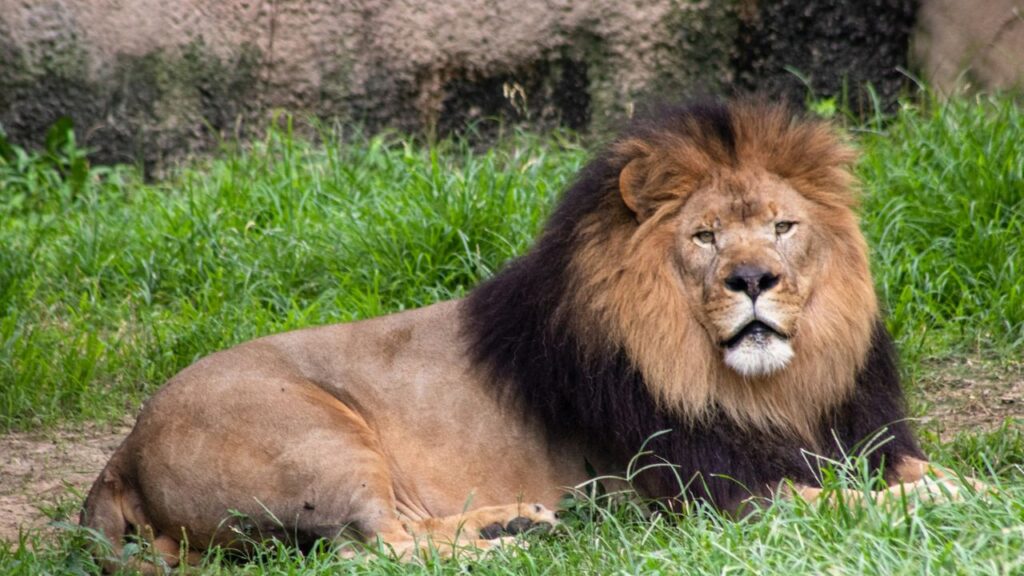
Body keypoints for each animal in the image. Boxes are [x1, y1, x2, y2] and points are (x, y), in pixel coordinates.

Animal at [81, 100, 968, 573]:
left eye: (783, 227)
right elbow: (843, 502)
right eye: (706, 237)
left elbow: (923, 471)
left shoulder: (853, 432)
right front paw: (936, 504)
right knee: (371, 549)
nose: (753, 280)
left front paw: (962, 486)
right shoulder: (706, 491)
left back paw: (519, 523)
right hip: (315, 436)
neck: (771, 388)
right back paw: (513, 550)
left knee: (402, 531)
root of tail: (122, 450)